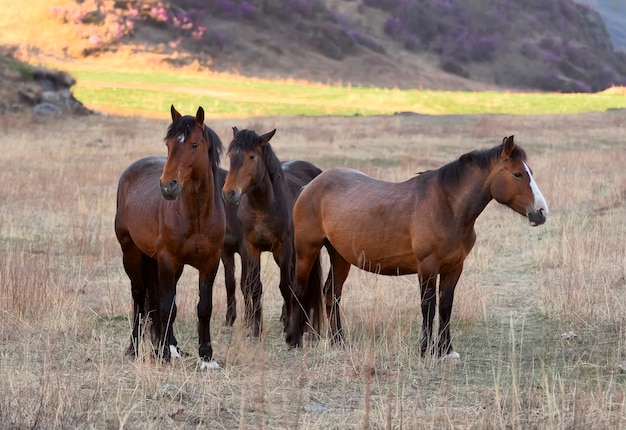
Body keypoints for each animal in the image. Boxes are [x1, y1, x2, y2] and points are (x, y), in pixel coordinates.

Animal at [114, 105, 224, 370]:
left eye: (194, 144)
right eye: (169, 143)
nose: (167, 187)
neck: (196, 216)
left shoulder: (211, 262)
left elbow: (203, 307)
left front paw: (207, 357)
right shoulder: (167, 260)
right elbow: (166, 306)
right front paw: (163, 353)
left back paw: (171, 347)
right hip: (131, 254)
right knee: (139, 298)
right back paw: (135, 348)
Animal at [221, 126, 326, 338]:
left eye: (252, 157)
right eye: (231, 155)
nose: (229, 193)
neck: (263, 206)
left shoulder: (283, 249)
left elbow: (285, 286)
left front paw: (289, 328)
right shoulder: (250, 248)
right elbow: (254, 286)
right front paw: (256, 330)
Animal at [286, 136, 544, 358]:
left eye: (530, 172)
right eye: (518, 174)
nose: (541, 212)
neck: (447, 206)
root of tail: (310, 186)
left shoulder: (454, 268)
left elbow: (446, 306)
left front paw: (445, 350)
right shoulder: (427, 266)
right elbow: (428, 306)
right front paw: (424, 350)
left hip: (340, 256)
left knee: (332, 293)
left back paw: (338, 341)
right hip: (307, 249)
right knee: (298, 289)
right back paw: (293, 340)